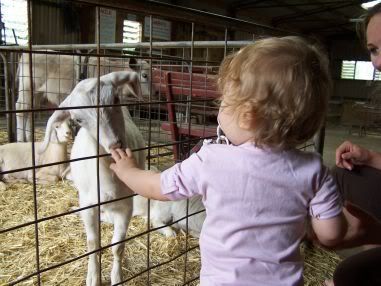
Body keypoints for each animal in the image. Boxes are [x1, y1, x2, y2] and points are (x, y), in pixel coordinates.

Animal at [40, 70, 145, 286]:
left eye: (115, 99)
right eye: (78, 120)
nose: (115, 145)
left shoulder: (126, 206)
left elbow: (117, 246)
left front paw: (116, 277)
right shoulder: (88, 205)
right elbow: (92, 244)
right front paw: (94, 277)